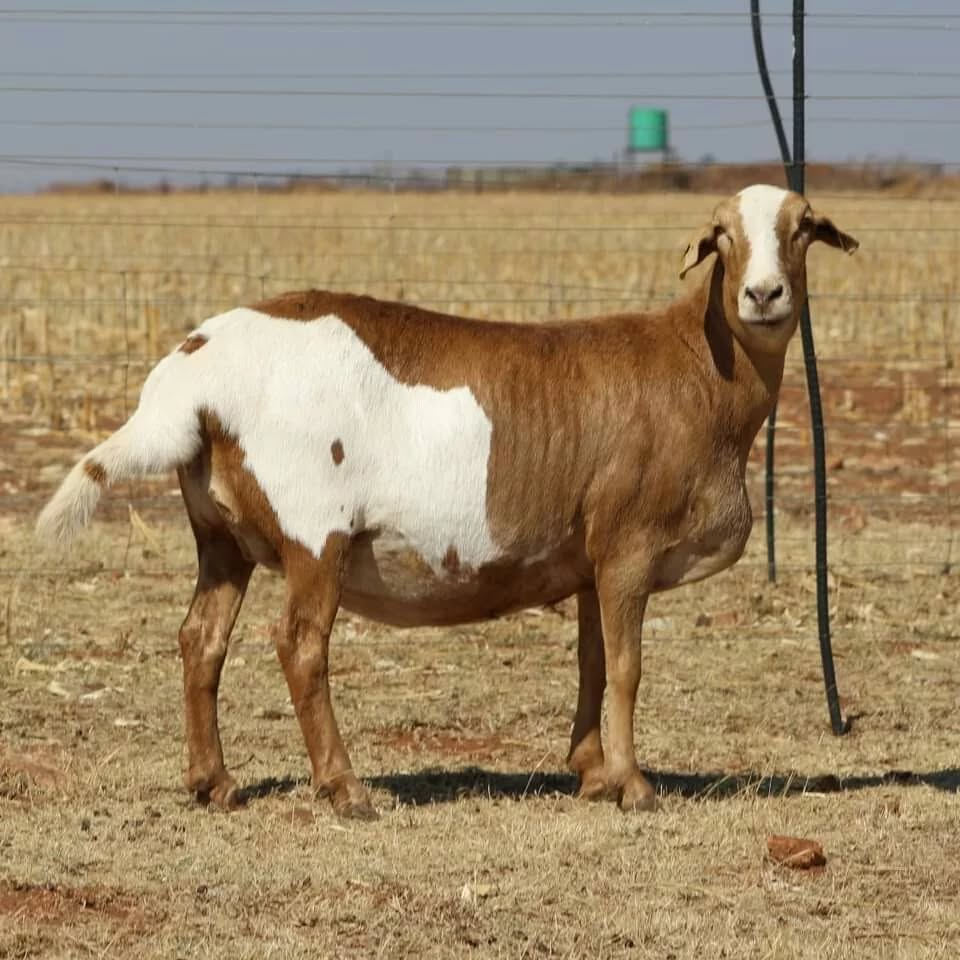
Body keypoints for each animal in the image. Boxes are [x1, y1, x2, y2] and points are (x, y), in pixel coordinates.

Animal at [37, 184, 858, 819]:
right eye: (722, 237)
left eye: (802, 229)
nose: (762, 295)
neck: (699, 366)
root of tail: (188, 378)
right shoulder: (628, 540)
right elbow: (627, 665)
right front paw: (634, 786)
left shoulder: (589, 555)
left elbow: (593, 661)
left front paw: (591, 774)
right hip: (313, 525)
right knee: (299, 644)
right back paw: (345, 789)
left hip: (220, 531)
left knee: (200, 639)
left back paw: (215, 783)